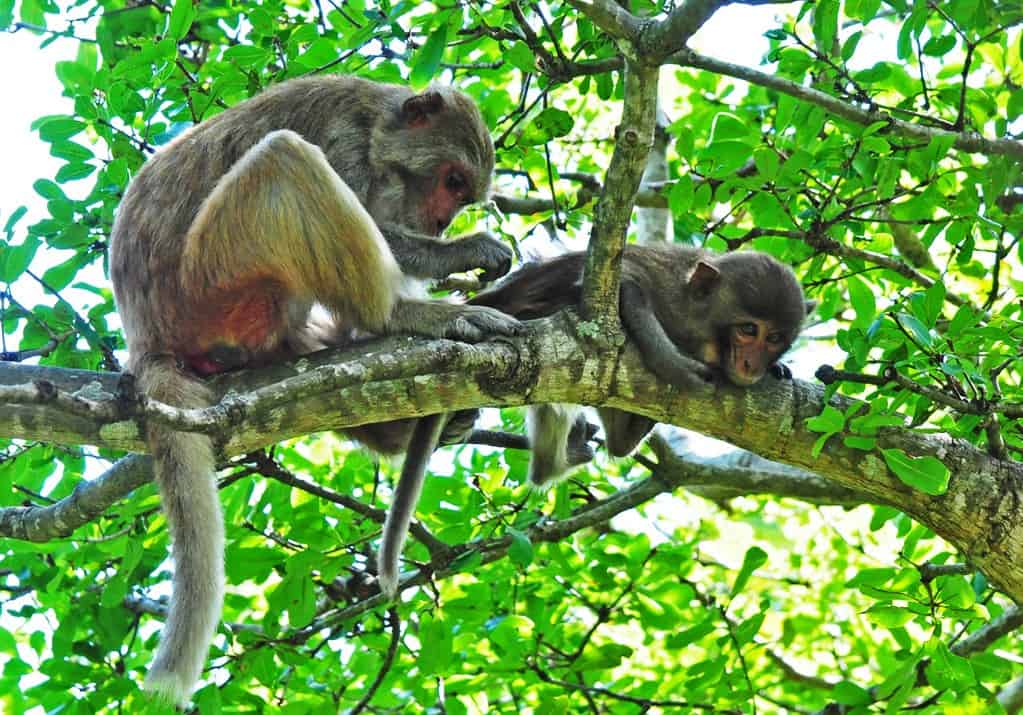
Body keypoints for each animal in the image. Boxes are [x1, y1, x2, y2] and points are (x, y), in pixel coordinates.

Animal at [109, 75, 519, 707]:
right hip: (213, 284)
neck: (378, 130)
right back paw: (404, 314)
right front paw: (466, 252)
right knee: (284, 162)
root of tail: (146, 340)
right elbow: (379, 226)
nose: (440, 225)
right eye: (452, 182)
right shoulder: (342, 141)